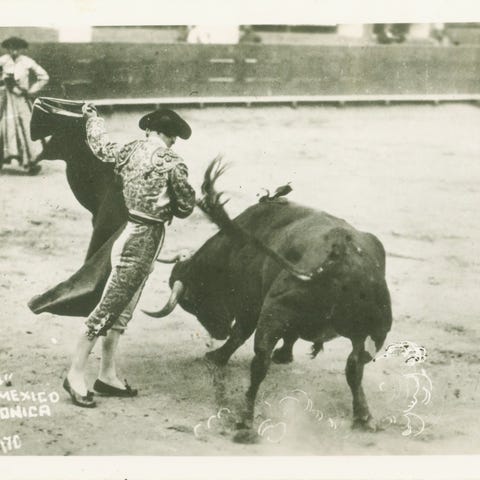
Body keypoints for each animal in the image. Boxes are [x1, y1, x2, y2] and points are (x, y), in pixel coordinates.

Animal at [145, 159, 393, 443]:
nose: (217, 333)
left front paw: (217, 355)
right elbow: (288, 336)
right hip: (374, 331)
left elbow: (240, 334)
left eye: (192, 302)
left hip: (274, 315)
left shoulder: (250, 305)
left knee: (260, 362)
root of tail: (340, 254)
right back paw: (364, 417)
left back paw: (244, 419)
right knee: (354, 366)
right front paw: (284, 355)